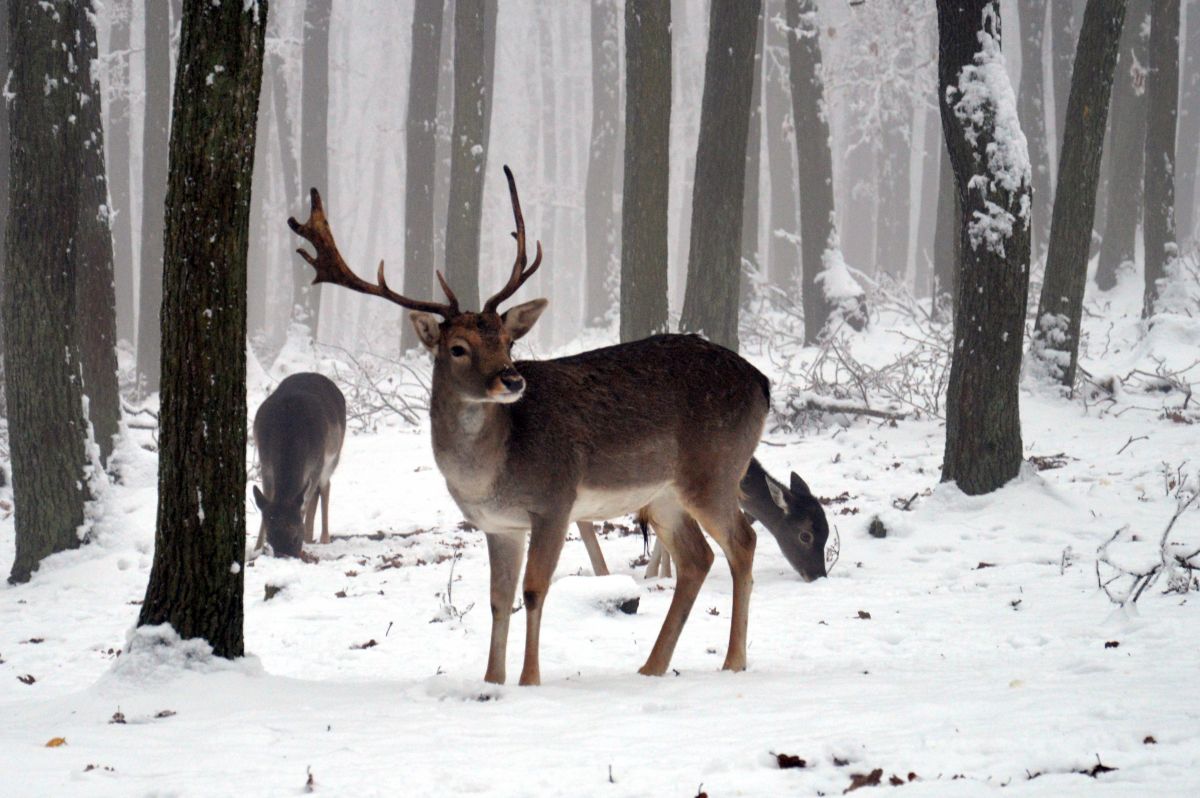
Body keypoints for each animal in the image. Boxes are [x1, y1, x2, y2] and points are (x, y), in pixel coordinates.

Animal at [252, 372, 348, 554]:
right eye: (270, 537)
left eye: (295, 536)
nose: (285, 555)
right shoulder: (265, 462)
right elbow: (267, 498)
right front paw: (257, 548)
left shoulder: (317, 463)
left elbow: (305, 503)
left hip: (334, 456)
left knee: (325, 486)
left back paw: (323, 538)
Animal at [290, 168, 768, 686]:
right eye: (457, 347)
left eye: (506, 340)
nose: (513, 379)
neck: (489, 474)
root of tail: (762, 383)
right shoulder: (498, 525)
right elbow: (499, 599)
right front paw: (492, 680)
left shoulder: (555, 501)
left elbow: (535, 589)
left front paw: (529, 679)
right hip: (663, 494)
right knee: (697, 558)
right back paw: (652, 666)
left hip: (714, 469)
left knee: (743, 542)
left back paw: (734, 660)